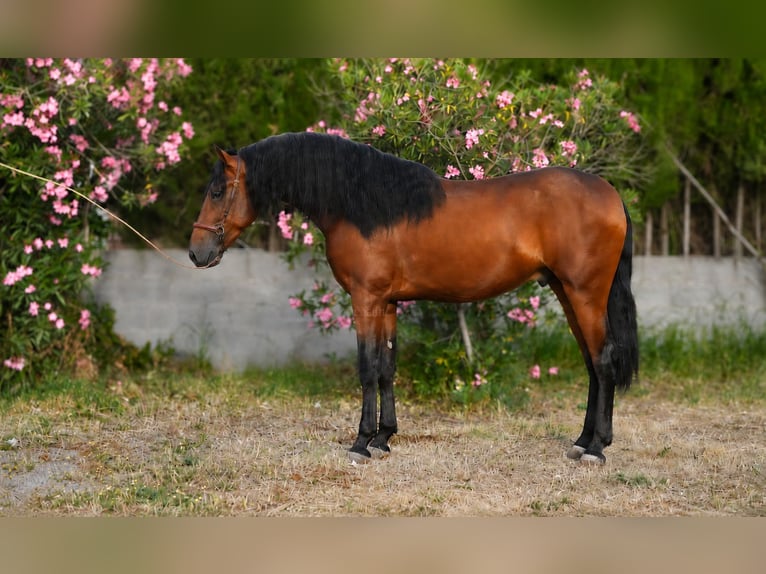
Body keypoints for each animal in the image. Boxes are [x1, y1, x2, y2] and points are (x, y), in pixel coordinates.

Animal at [189, 132, 638, 465]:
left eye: (217, 191)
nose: (196, 253)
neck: (362, 204)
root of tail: (611, 195)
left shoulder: (366, 300)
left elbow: (367, 368)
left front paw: (360, 443)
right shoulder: (386, 302)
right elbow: (387, 367)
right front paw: (383, 438)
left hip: (585, 294)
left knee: (603, 361)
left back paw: (596, 449)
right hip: (566, 292)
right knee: (592, 365)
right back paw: (582, 441)